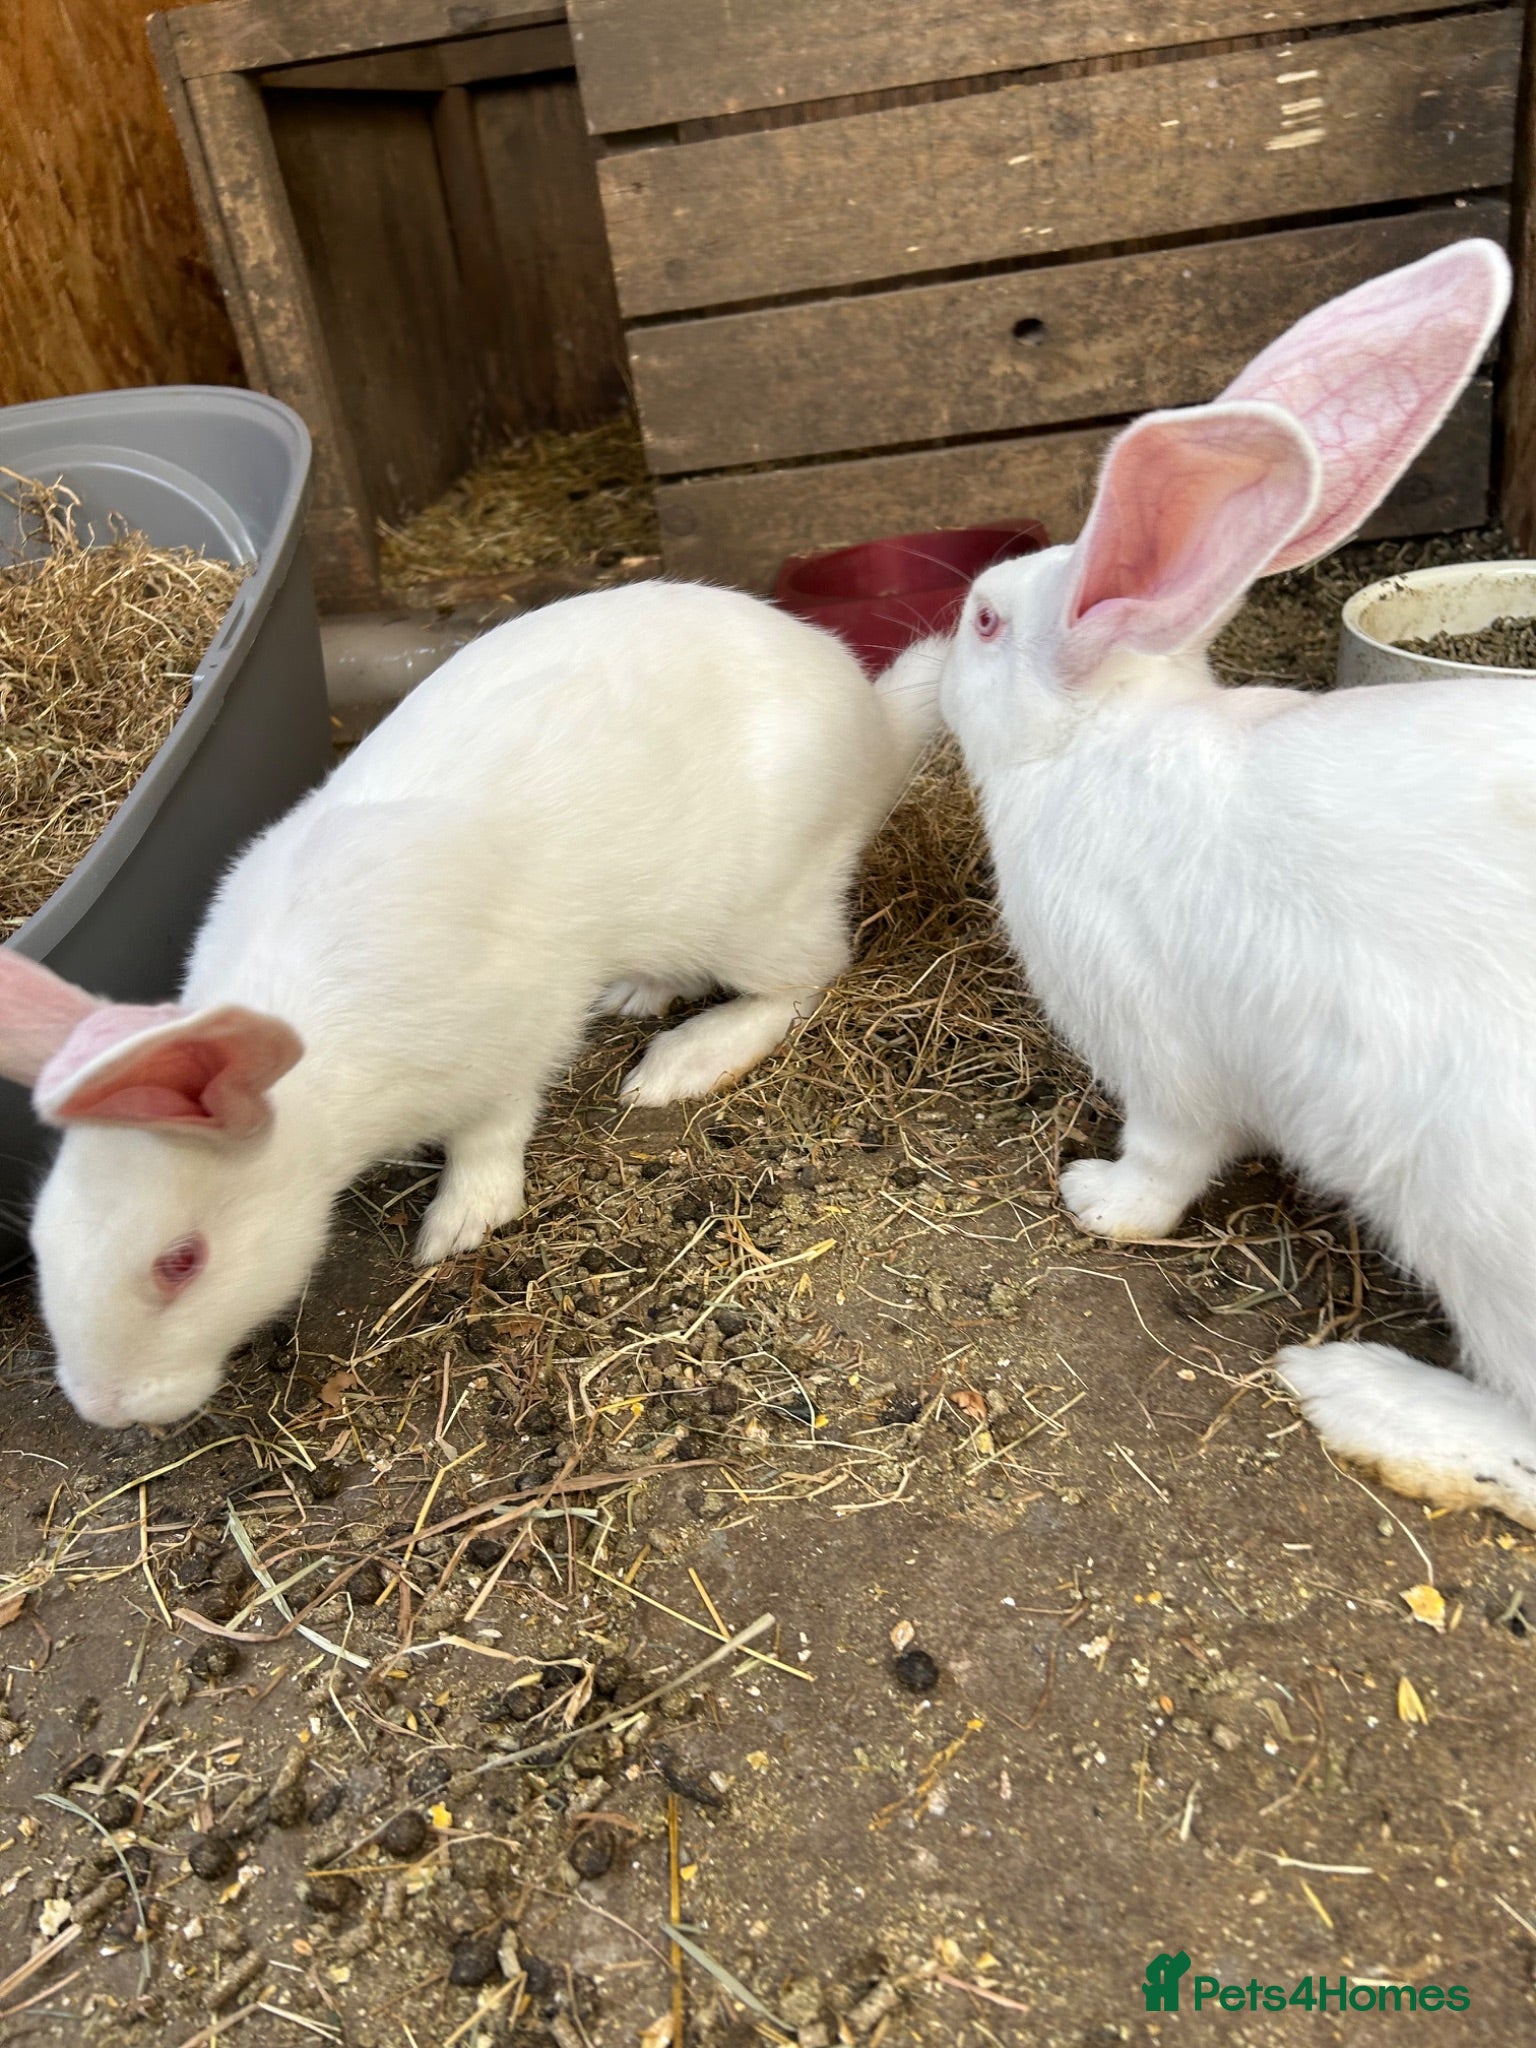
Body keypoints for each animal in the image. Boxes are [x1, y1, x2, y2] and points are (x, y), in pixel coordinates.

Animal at [0, 580, 941, 1429]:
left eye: (182, 1262)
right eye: (41, 1242)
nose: (104, 1409)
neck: (319, 1089)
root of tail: (873, 729)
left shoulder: (511, 1043)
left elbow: (491, 1134)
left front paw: (458, 1226)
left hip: (760, 911)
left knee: (806, 977)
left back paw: (679, 1063)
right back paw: (638, 994)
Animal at [936, 237, 1536, 1526]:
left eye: (987, 622)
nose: (938, 656)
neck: (1097, 747)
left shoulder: (1161, 1054)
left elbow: (1169, 1158)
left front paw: (1096, 1199)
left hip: (1480, 1204)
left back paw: (1354, 1391)